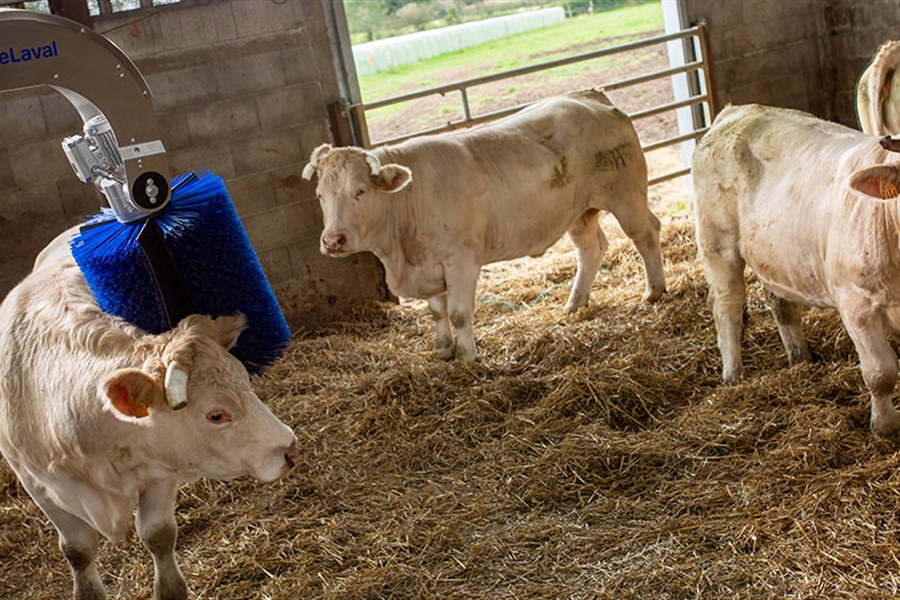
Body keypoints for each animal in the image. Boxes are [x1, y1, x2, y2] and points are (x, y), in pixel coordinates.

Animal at [0, 227, 302, 596]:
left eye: (246, 382)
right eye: (216, 415)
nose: (290, 448)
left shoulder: (160, 471)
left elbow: (159, 535)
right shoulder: (37, 484)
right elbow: (78, 550)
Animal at [306, 87, 664, 360]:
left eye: (360, 191)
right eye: (320, 194)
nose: (332, 240)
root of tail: (588, 96)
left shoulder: (461, 260)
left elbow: (459, 313)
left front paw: (467, 356)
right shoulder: (428, 265)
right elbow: (437, 311)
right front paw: (442, 350)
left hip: (626, 194)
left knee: (645, 233)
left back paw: (654, 291)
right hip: (578, 213)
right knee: (591, 248)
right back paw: (575, 303)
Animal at [692, 102, 900, 440]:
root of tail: (737, 111)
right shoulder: (856, 305)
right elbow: (880, 372)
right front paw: (884, 428)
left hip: (775, 253)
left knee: (780, 302)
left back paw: (801, 359)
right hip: (718, 244)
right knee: (727, 307)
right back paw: (733, 375)